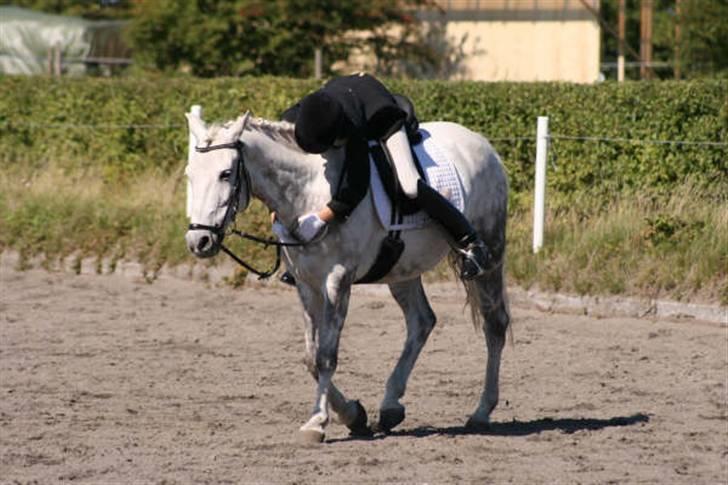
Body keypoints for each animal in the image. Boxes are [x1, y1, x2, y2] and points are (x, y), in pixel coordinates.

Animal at [185, 110, 510, 442]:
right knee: (422, 321)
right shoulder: (306, 284)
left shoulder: (336, 281)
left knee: (495, 324)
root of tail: (483, 144)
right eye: (190, 175)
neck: (308, 192)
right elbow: (311, 357)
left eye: (226, 174)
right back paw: (391, 406)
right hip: (402, 269)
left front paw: (317, 422)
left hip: (490, 252)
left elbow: (326, 355)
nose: (199, 241)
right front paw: (353, 415)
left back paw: (481, 412)